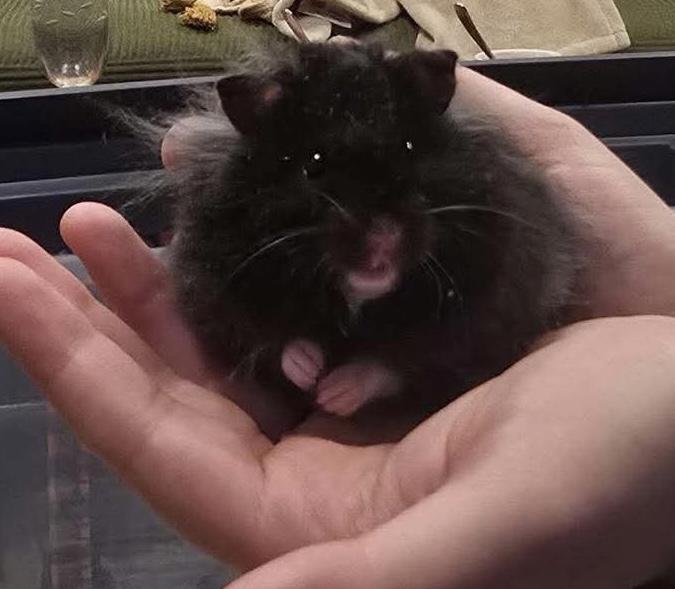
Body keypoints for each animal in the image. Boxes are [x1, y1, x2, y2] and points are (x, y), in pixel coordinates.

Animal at [162, 42, 579, 419]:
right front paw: (311, 371)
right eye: (313, 164)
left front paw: (334, 394)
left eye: (409, 147)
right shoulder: (218, 297)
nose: (384, 236)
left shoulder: (480, 320)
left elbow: (392, 366)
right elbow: (274, 342)